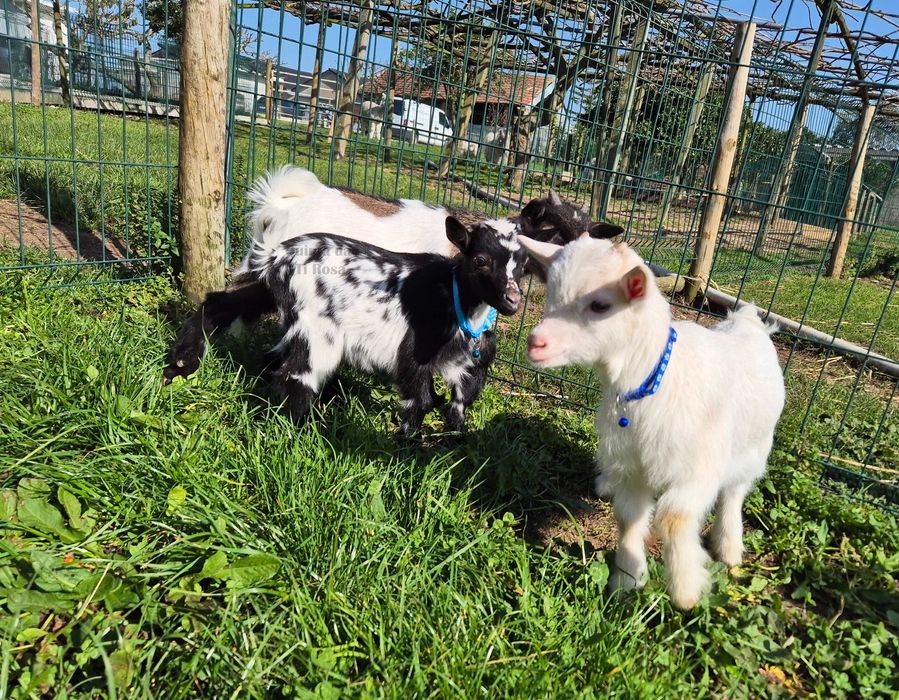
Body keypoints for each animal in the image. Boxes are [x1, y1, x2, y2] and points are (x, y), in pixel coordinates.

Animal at [165, 217, 527, 436]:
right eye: (480, 260)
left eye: (523, 265)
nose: (512, 300)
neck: (454, 298)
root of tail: (275, 257)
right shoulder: (414, 354)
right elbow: (420, 401)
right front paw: (406, 446)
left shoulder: (471, 365)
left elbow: (460, 404)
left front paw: (452, 441)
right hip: (317, 329)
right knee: (296, 374)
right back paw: (297, 432)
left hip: (266, 293)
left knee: (219, 305)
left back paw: (179, 366)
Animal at [519, 235, 785, 609]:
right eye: (552, 293)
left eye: (600, 305)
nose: (536, 342)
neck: (652, 382)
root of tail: (746, 322)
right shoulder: (631, 465)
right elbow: (628, 518)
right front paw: (626, 580)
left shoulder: (696, 470)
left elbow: (673, 519)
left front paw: (686, 592)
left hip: (754, 446)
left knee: (735, 491)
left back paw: (729, 547)